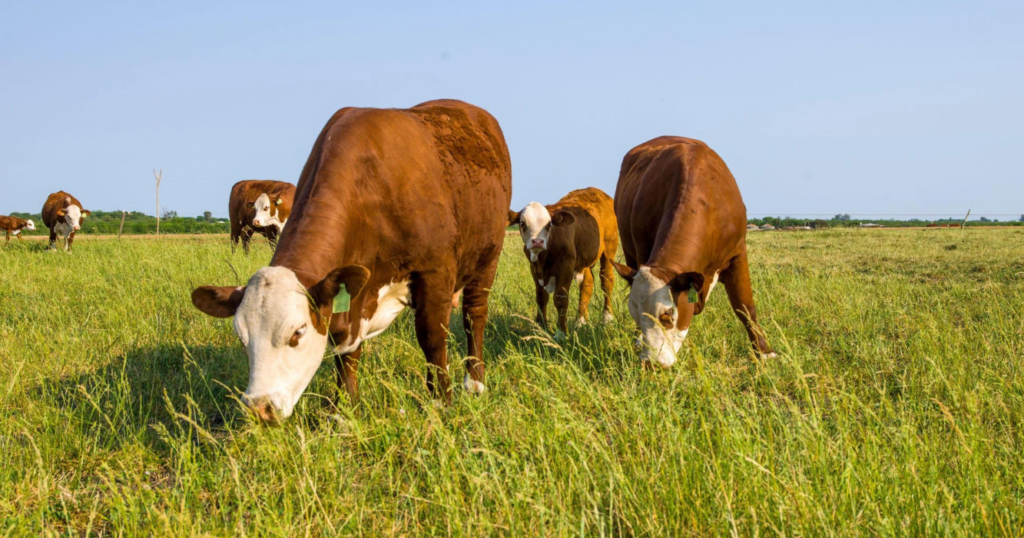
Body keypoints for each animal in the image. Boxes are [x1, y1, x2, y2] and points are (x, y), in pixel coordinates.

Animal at [190, 98, 509, 422]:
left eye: (297, 333)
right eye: (242, 338)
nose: (260, 408)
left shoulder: (435, 271)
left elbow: (432, 335)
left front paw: (441, 400)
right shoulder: (352, 290)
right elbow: (346, 350)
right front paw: (343, 409)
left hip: (488, 256)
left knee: (474, 316)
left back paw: (474, 381)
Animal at [507, 186, 618, 334]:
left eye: (549, 224)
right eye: (522, 223)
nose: (537, 242)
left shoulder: (566, 267)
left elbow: (560, 299)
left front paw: (561, 333)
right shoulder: (534, 268)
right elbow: (541, 297)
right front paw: (541, 327)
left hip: (610, 247)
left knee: (606, 280)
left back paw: (607, 318)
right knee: (587, 283)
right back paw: (580, 322)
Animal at [606, 136, 774, 366]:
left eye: (668, 313)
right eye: (635, 314)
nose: (651, 363)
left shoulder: (738, 254)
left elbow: (745, 307)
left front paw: (764, 352)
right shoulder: (642, 252)